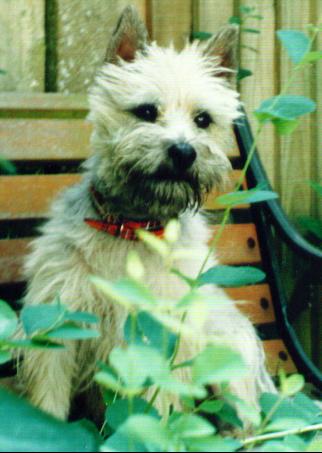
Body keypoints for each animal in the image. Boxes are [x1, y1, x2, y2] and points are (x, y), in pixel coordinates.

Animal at [17, 6, 274, 424]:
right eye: (147, 111)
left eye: (203, 119)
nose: (184, 152)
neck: (131, 228)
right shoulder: (61, 323)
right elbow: (49, 401)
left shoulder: (159, 336)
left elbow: (158, 408)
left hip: (227, 350)